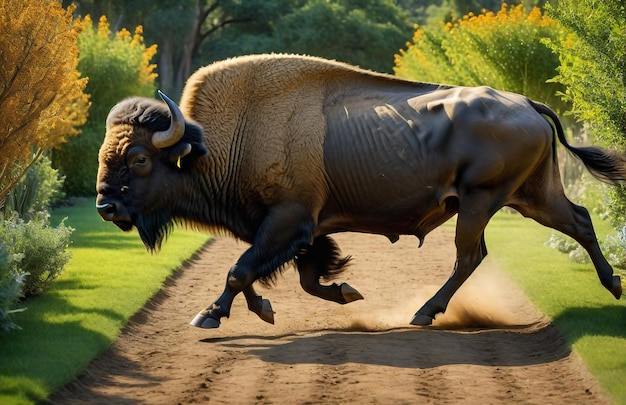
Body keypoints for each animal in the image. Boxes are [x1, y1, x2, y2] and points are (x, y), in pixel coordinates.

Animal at [95, 52, 620, 328]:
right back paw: (613, 285)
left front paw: (209, 315)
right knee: (578, 220)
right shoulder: (293, 231)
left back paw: (424, 314)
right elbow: (292, 276)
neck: (226, 138)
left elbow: (240, 270)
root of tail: (528, 103)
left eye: (139, 159)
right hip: (531, 196)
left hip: (482, 201)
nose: (104, 205)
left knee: (469, 255)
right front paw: (334, 295)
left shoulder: (288, 220)